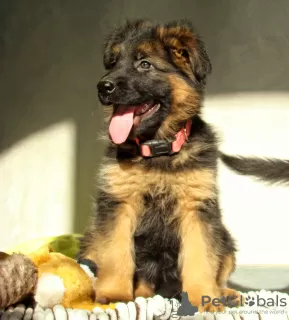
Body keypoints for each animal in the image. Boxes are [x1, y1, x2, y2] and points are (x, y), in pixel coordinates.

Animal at [79, 18, 238, 312]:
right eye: (114, 62)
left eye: (145, 64)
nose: (102, 87)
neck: (157, 151)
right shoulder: (119, 202)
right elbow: (116, 253)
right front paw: (115, 294)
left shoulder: (196, 208)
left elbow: (201, 257)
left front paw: (203, 297)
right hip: (91, 238)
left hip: (226, 239)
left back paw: (225, 293)